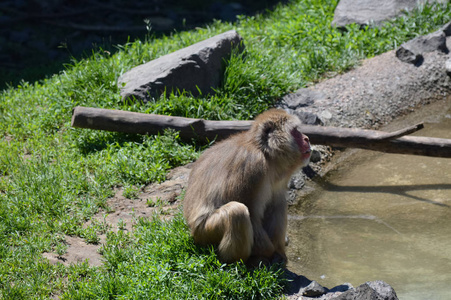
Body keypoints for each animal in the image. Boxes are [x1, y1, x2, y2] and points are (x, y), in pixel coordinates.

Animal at [184, 109, 310, 266]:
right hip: (205, 233)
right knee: (237, 212)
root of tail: (191, 230)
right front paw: (268, 252)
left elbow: (275, 203)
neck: (265, 153)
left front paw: (279, 252)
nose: (307, 139)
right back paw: (236, 263)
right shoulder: (251, 167)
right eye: (295, 131)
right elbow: (252, 214)